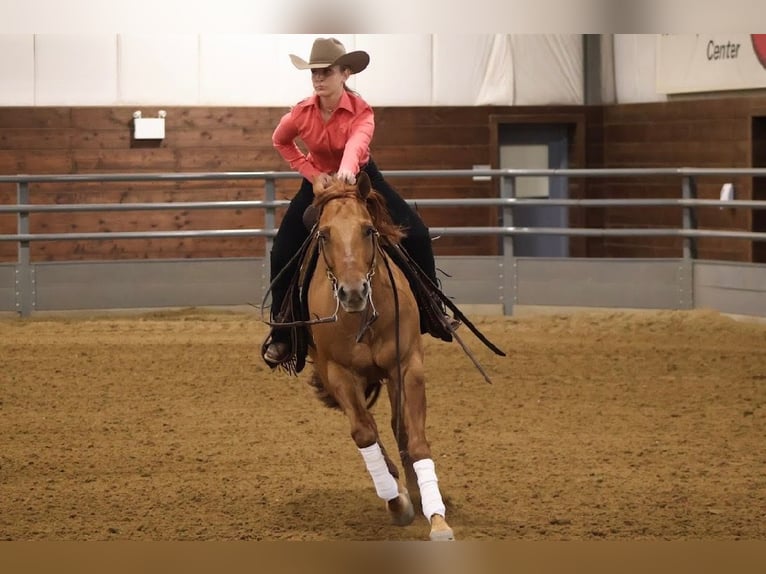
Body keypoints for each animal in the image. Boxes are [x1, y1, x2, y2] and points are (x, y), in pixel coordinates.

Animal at [301, 172, 455, 541]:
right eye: (324, 234)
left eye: (368, 229)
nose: (353, 292)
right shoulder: (338, 372)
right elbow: (364, 433)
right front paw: (397, 502)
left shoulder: (408, 365)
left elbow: (413, 437)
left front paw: (436, 516)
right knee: (368, 425)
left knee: (399, 429)